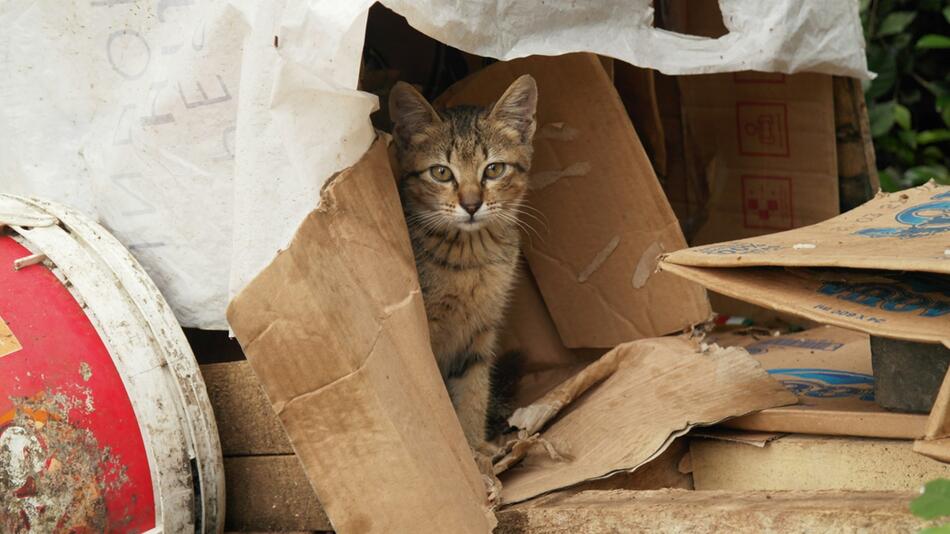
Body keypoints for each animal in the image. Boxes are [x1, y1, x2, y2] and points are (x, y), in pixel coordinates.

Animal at [386, 77, 536, 458]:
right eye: (441, 172)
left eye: (494, 169)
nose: (471, 204)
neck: (471, 260)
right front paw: (468, 455)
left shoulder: (480, 332)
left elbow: (473, 391)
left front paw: (475, 446)